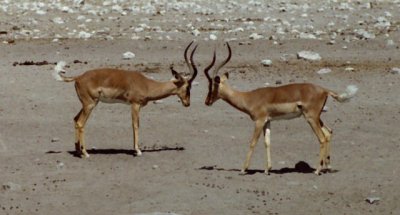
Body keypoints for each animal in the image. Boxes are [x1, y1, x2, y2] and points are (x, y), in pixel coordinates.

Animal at [52, 41, 199, 158]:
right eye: (188, 87)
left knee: (75, 119)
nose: (187, 103)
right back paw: (85, 153)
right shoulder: (135, 105)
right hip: (89, 105)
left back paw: (78, 151)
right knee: (80, 123)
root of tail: (78, 77)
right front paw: (138, 151)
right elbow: (135, 125)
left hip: (87, 104)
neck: (147, 84)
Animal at [205, 42, 358, 176]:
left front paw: (243, 169)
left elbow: (252, 142)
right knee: (328, 132)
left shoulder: (259, 121)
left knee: (322, 138)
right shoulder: (267, 121)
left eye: (212, 85)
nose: (207, 102)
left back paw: (317, 170)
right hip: (316, 117)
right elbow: (267, 142)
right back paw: (328, 167)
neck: (248, 98)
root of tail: (324, 90)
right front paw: (267, 170)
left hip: (311, 118)